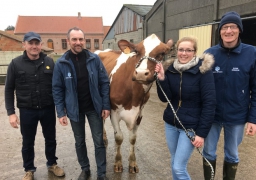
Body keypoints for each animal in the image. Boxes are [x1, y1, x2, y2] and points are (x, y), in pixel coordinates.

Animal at [95, 33, 171, 173]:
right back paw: (104, 139)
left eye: (162, 54)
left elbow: (133, 139)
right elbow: (119, 137)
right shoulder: (114, 111)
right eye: (136, 51)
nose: (141, 73)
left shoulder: (139, 113)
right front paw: (118, 163)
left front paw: (132, 163)